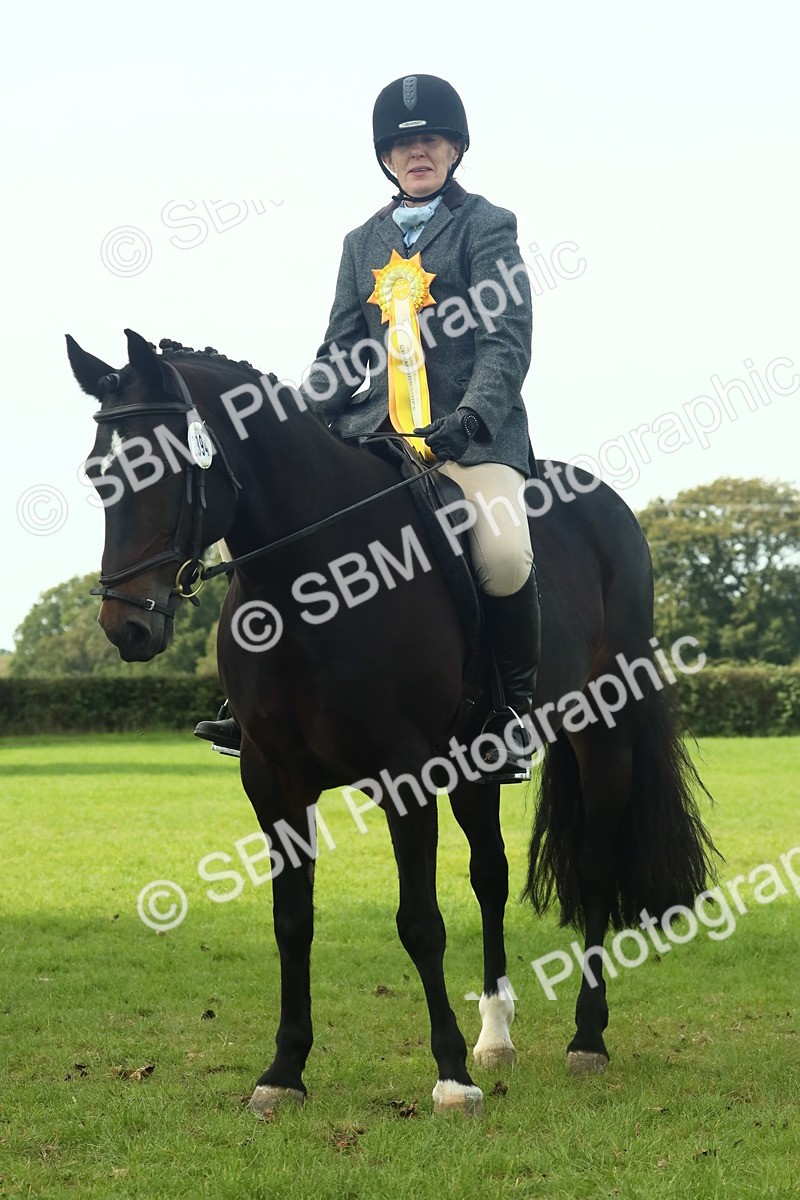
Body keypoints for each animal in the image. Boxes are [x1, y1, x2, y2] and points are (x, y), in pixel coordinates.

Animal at [67, 328, 717, 1117]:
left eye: (160, 468)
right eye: (99, 472)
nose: (126, 626)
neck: (309, 585)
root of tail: (612, 509)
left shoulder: (403, 776)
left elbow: (420, 923)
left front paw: (451, 1079)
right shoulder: (273, 780)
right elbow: (293, 921)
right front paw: (283, 1072)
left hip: (603, 731)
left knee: (593, 866)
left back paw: (586, 1038)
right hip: (474, 764)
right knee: (491, 874)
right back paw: (496, 1035)